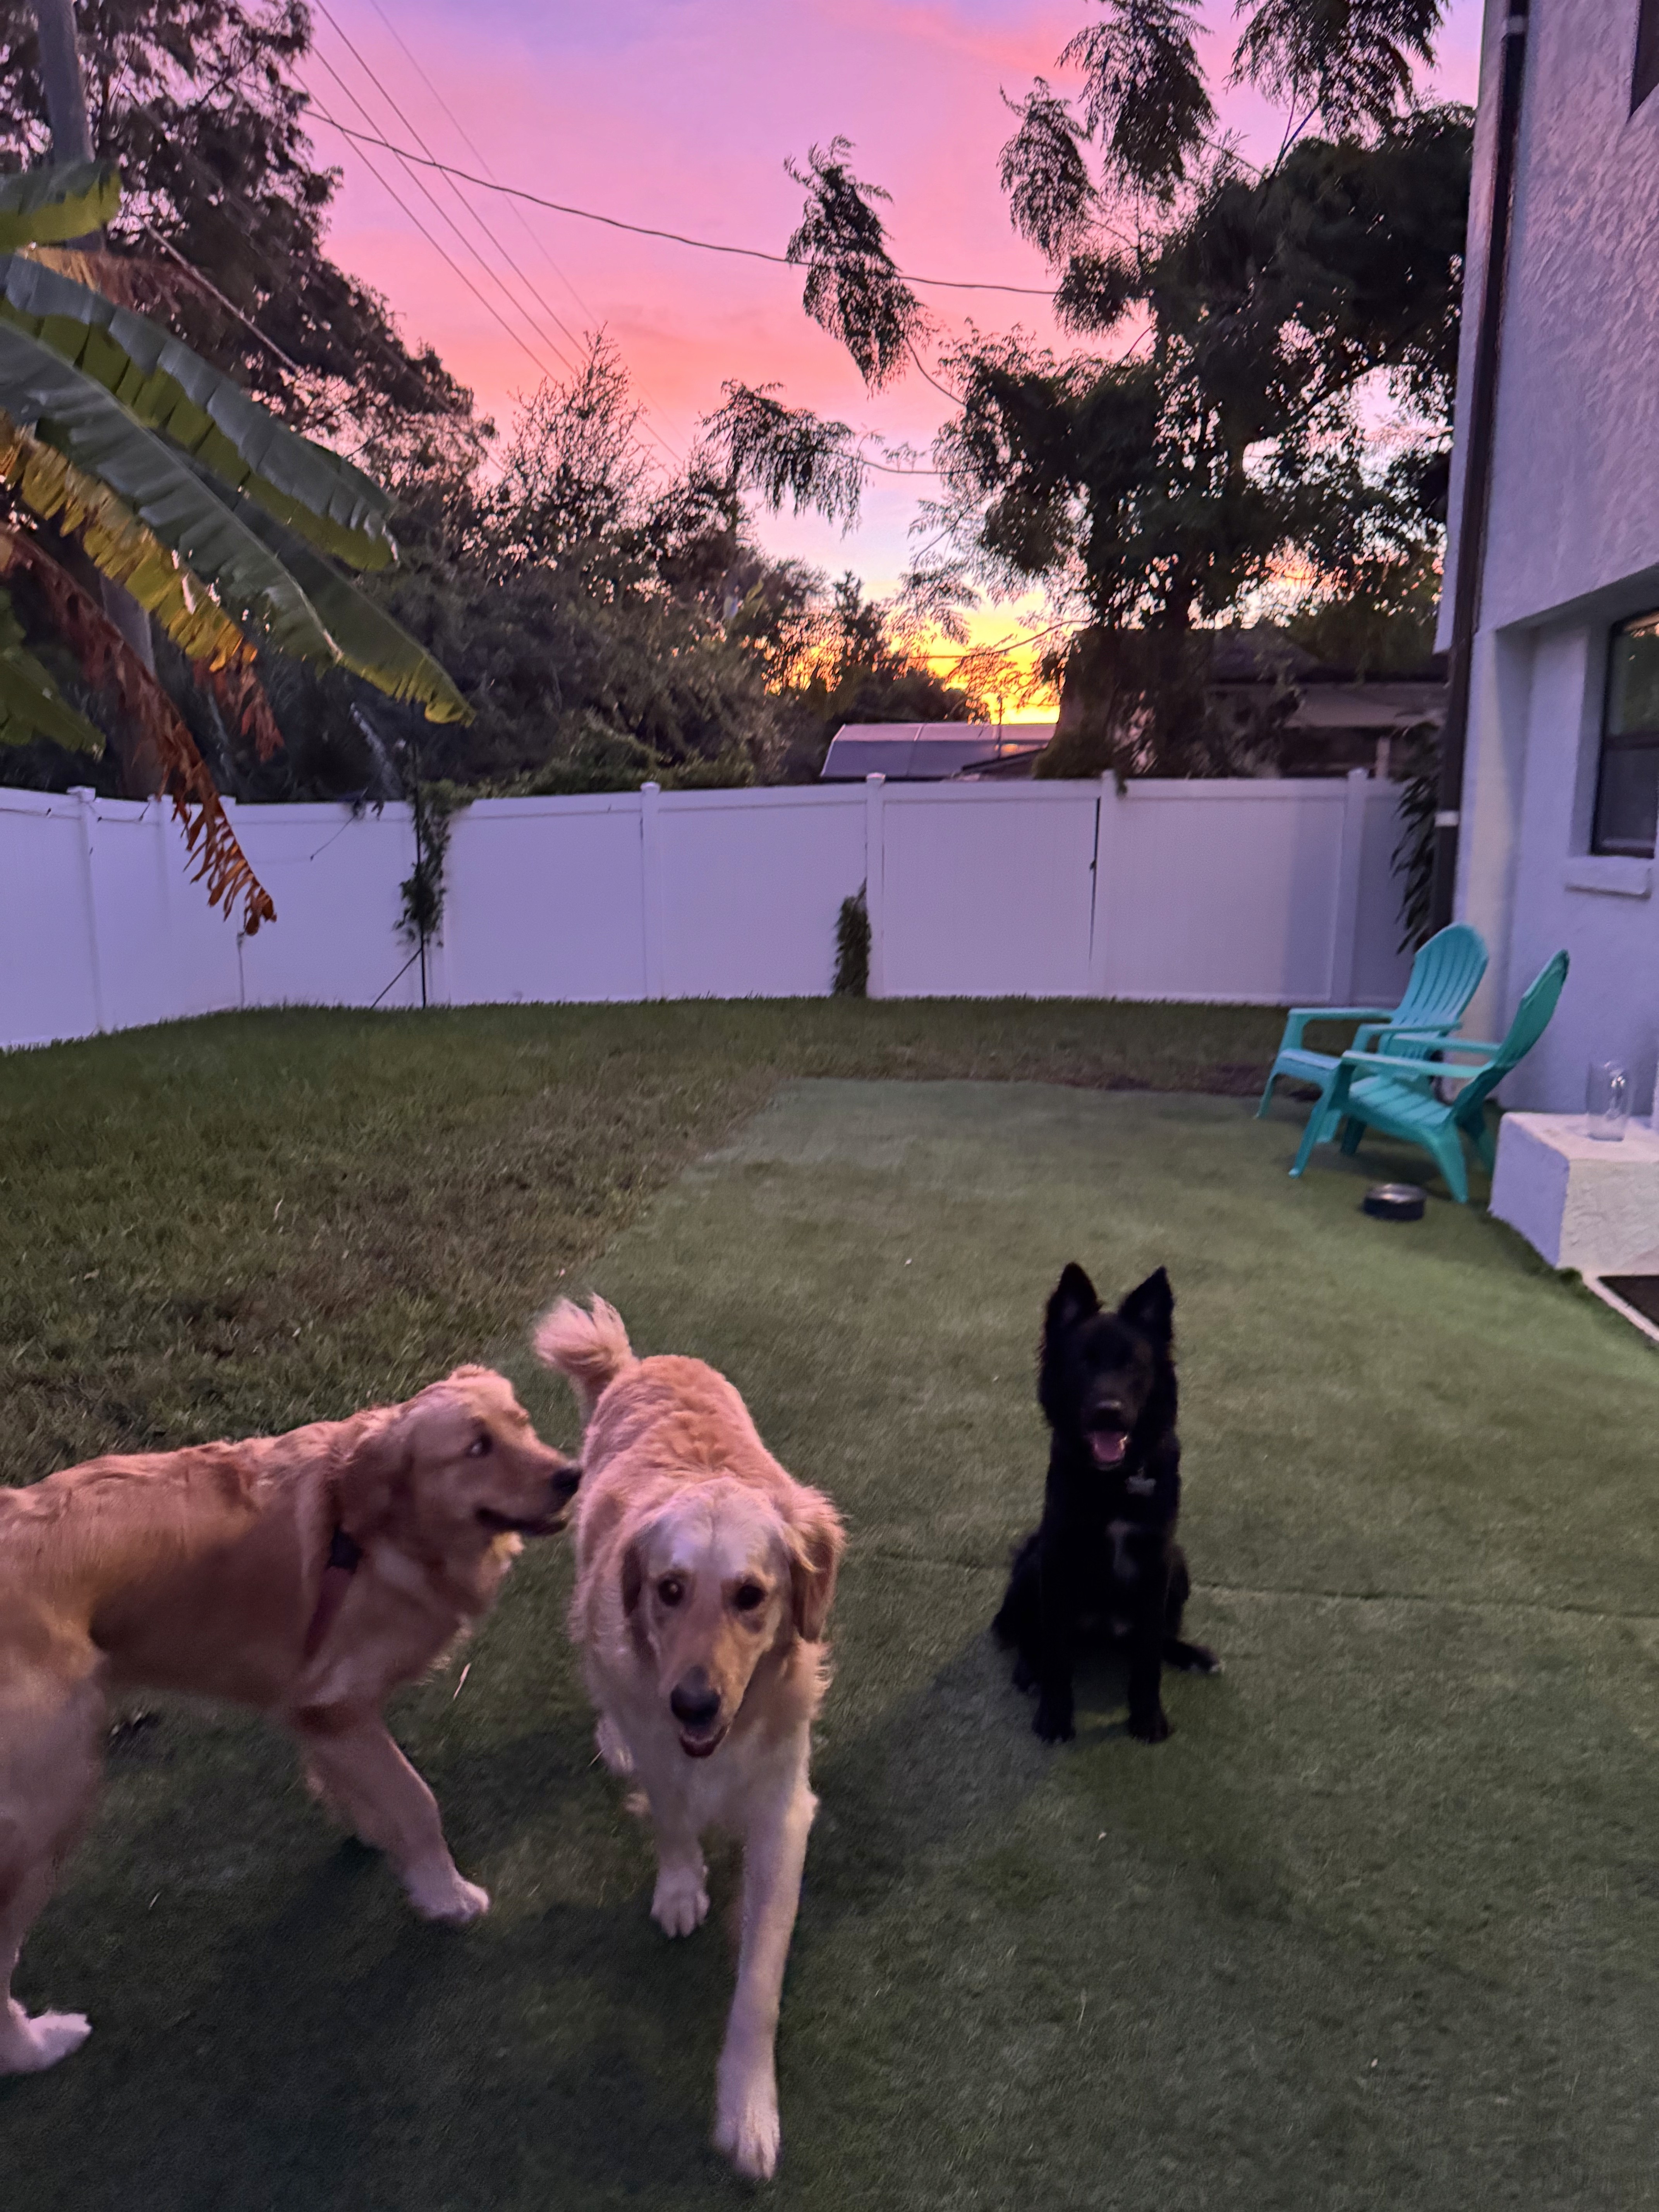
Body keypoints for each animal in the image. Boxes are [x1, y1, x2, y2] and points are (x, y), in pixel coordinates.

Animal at [0, 1366, 579, 2076]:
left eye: (521, 1423)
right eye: (476, 1448)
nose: (573, 1474)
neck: (380, 1531)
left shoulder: (316, 1710)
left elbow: (358, 1788)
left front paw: (371, 1830)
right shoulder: (339, 1704)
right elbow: (417, 1802)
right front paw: (444, 1894)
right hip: (55, 1797)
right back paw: (37, 2047)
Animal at [535, 1296, 843, 2182]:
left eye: (751, 1595)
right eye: (669, 1589)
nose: (695, 1703)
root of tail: (642, 1363)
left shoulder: (783, 1814)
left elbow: (758, 1989)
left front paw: (747, 2107)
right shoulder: (662, 1737)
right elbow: (671, 1815)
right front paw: (680, 1886)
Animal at [992, 1263, 1217, 1745]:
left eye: (1133, 1363)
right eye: (1084, 1362)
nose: (1108, 1413)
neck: (1116, 1478)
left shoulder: (1157, 1560)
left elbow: (1148, 1655)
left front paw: (1147, 1716)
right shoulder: (1058, 1556)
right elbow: (1057, 1653)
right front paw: (1055, 1715)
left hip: (1179, 1564)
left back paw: (1192, 1654)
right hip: (1035, 1565)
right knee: (1029, 1635)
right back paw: (1029, 1670)